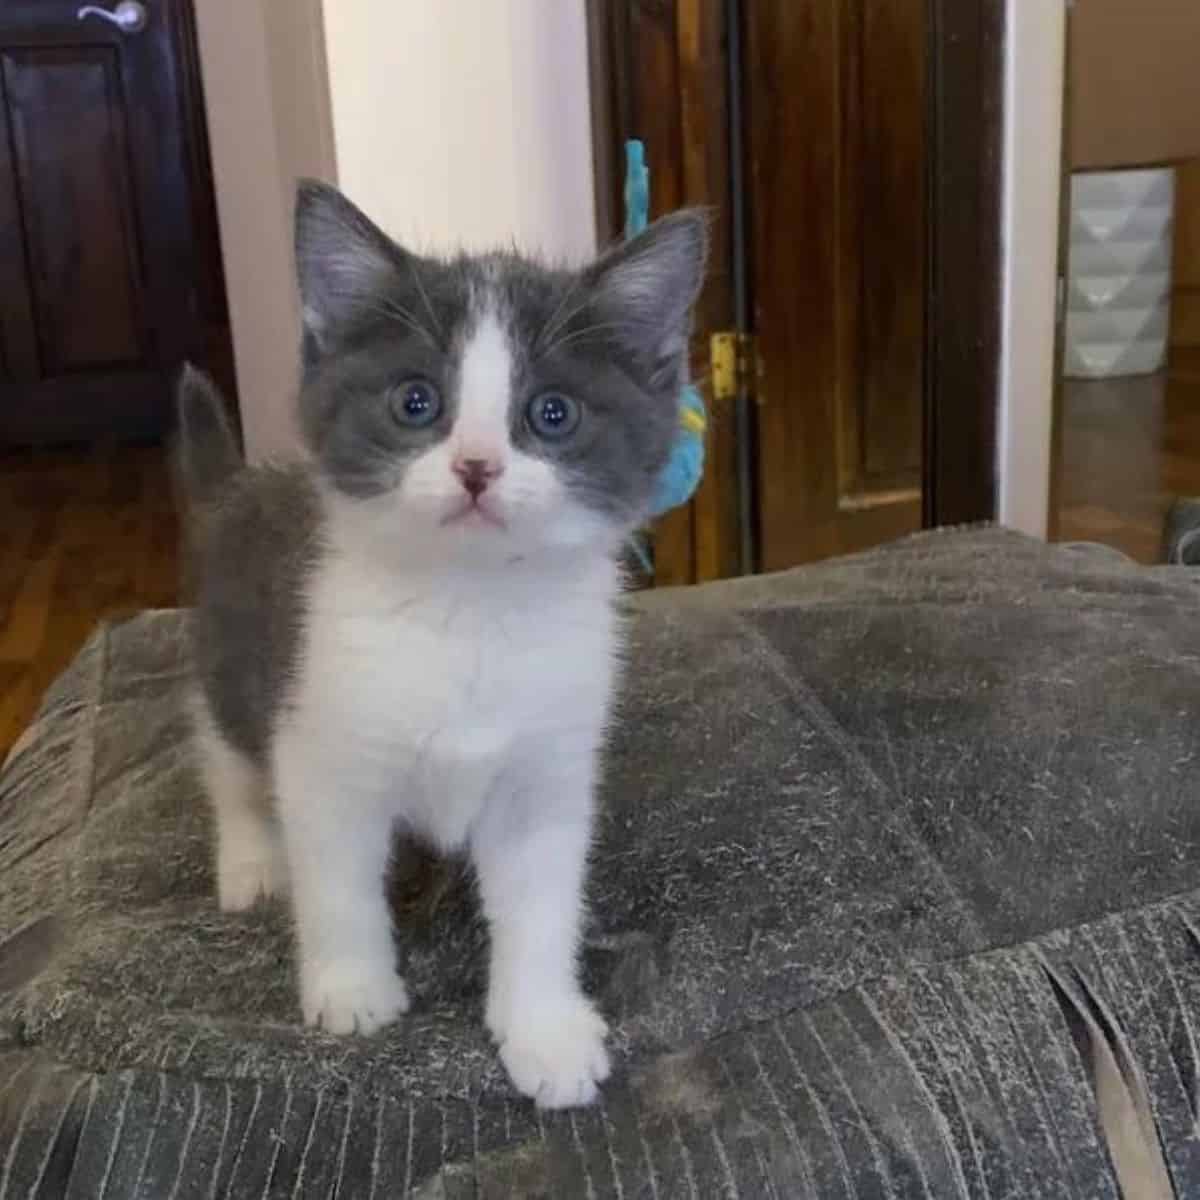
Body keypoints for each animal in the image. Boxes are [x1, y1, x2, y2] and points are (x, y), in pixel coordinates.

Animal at [176, 177, 700, 1104]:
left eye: (552, 414)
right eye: (415, 403)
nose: (476, 467)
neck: (471, 609)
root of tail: (238, 488)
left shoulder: (549, 766)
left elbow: (542, 900)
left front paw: (544, 1029)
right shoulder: (320, 741)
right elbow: (338, 879)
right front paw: (352, 988)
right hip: (232, 656)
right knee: (227, 758)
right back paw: (251, 863)